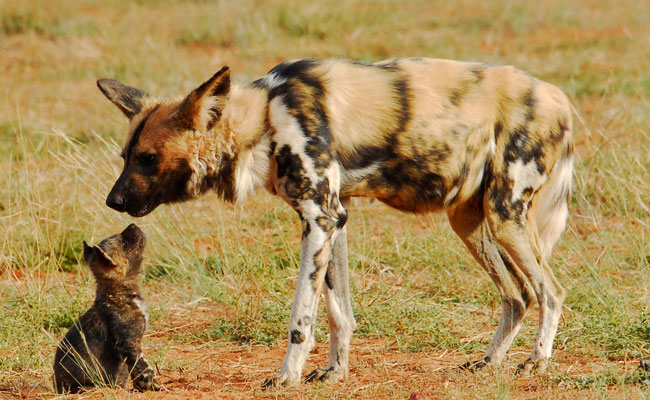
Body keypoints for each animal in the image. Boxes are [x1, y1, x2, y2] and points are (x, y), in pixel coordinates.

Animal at [97, 57, 572, 386]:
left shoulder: (320, 218)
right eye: (125, 156)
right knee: (517, 295)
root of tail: (558, 97)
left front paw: (286, 377)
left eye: (148, 158)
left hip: (505, 215)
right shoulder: (334, 218)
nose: (112, 200)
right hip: (470, 220)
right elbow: (338, 313)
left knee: (551, 291)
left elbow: (301, 321)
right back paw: (490, 362)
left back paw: (536, 361)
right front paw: (335, 373)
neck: (265, 120)